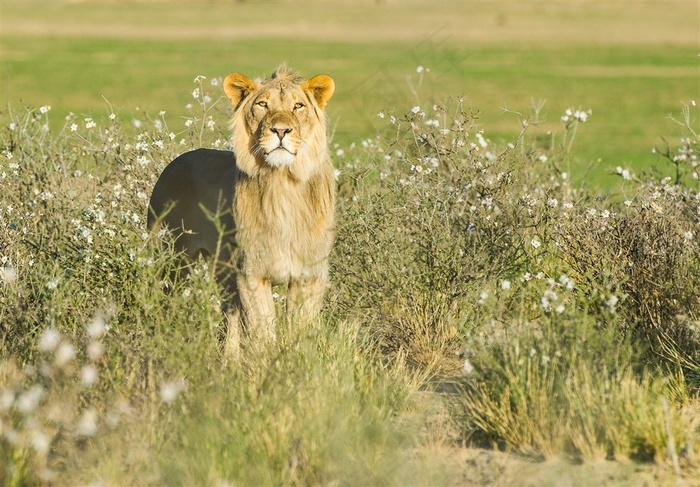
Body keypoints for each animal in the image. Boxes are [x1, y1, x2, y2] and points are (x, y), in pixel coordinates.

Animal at [148, 66, 336, 354]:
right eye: (262, 105)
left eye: (298, 106)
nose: (281, 130)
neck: (282, 183)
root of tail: (172, 164)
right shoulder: (252, 273)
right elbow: (264, 331)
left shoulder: (309, 274)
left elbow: (299, 331)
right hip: (172, 261)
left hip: (222, 270)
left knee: (230, 315)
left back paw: (230, 359)